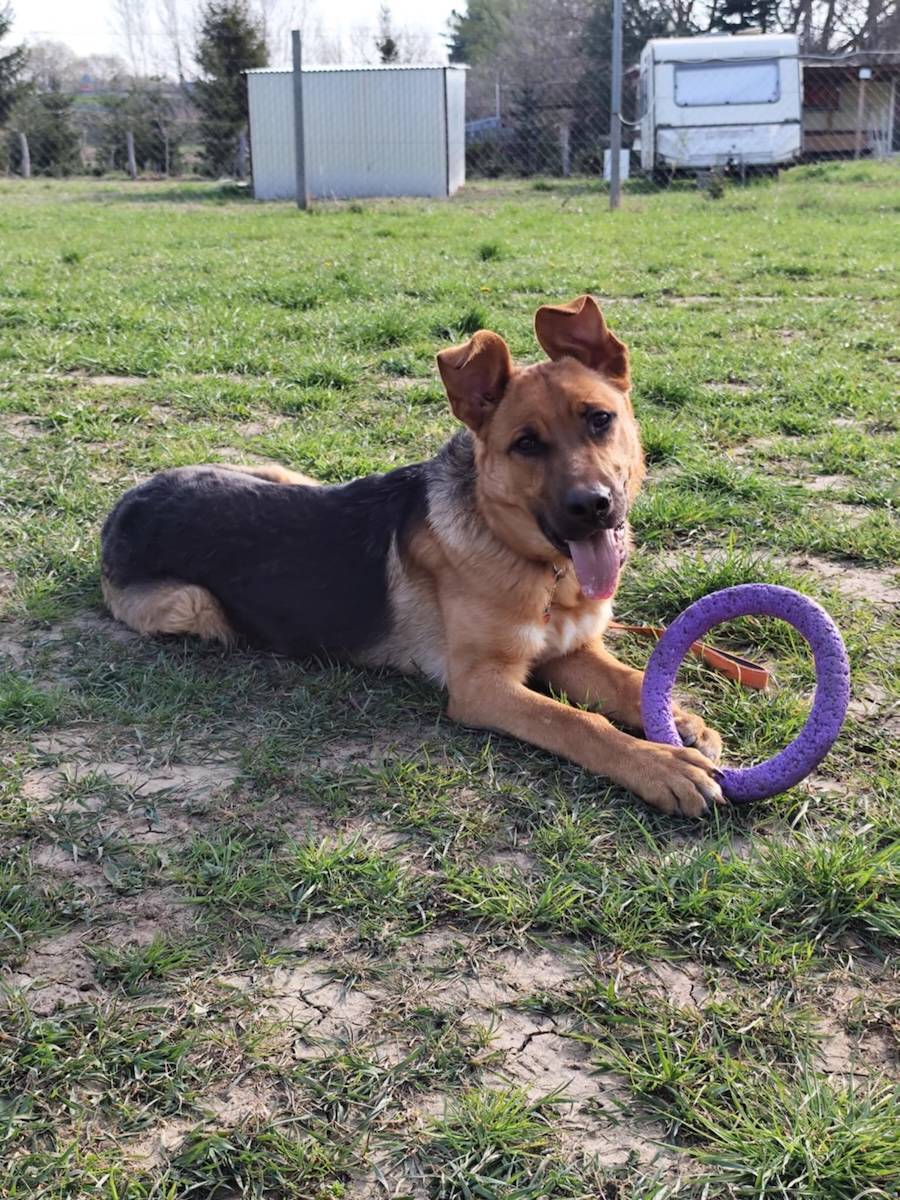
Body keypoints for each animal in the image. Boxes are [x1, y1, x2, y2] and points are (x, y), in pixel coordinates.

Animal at [101, 295, 723, 817]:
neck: (542, 571)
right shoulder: (483, 687)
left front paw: (677, 719)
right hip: (193, 608)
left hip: (280, 472)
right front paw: (660, 764)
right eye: (526, 444)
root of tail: (127, 502)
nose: (593, 507)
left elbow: (630, 680)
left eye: (599, 419)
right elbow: (579, 722)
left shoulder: (571, 652)